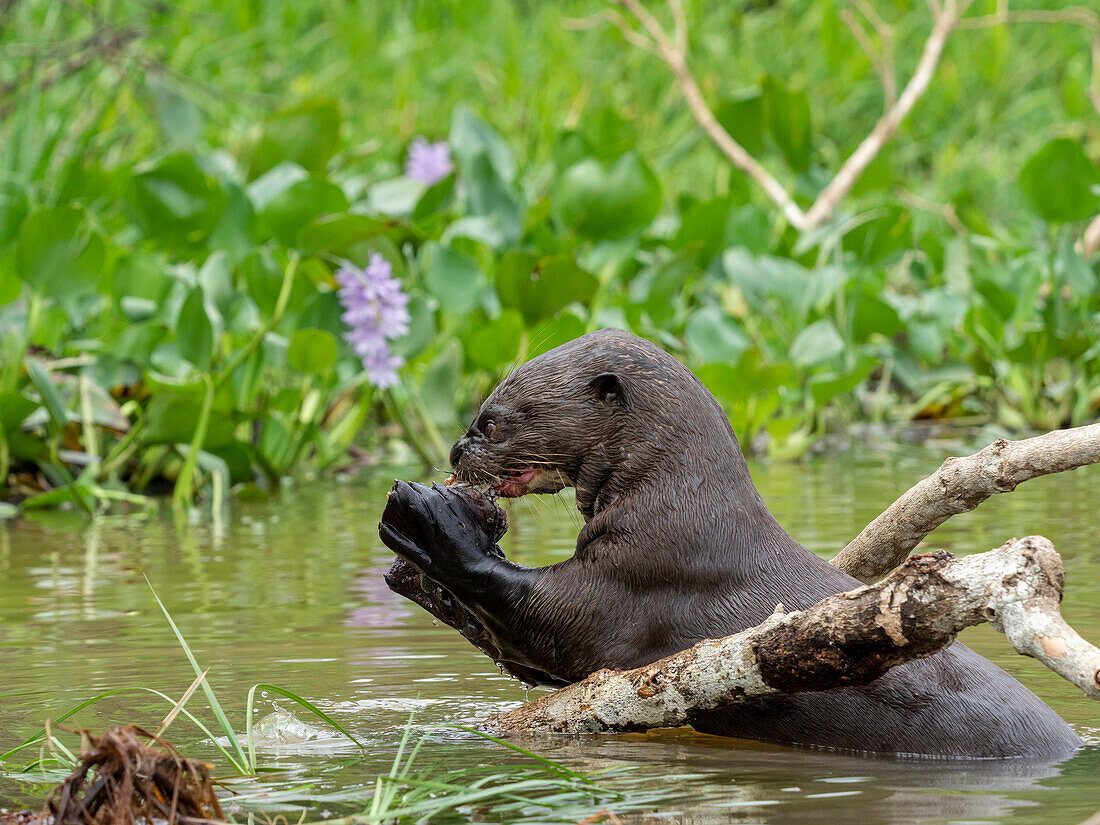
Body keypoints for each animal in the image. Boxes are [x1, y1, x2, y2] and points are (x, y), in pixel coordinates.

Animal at [378, 330, 1082, 761]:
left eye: (492, 421)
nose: (455, 450)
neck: (680, 507)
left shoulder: (643, 575)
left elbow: (553, 619)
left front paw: (433, 522)